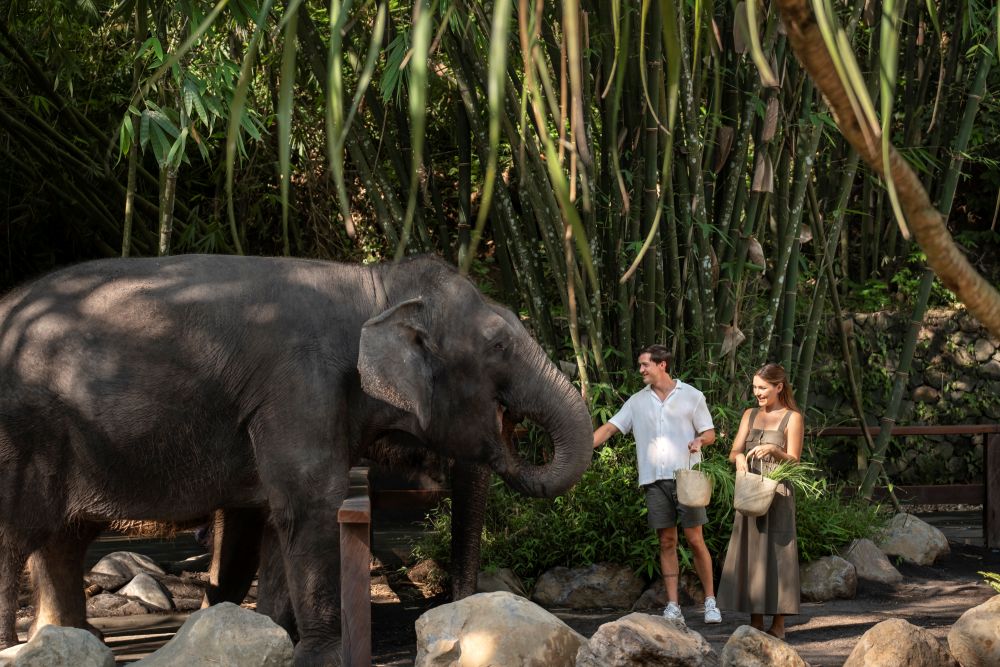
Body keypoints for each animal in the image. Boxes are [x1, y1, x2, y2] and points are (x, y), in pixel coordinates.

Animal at [0, 254, 593, 666]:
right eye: (497, 346)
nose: (450, 616)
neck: (373, 287)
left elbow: (272, 521)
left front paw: (271, 639)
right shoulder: (299, 388)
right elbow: (310, 507)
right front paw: (321, 655)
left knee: (63, 538)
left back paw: (69, 640)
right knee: (16, 538)